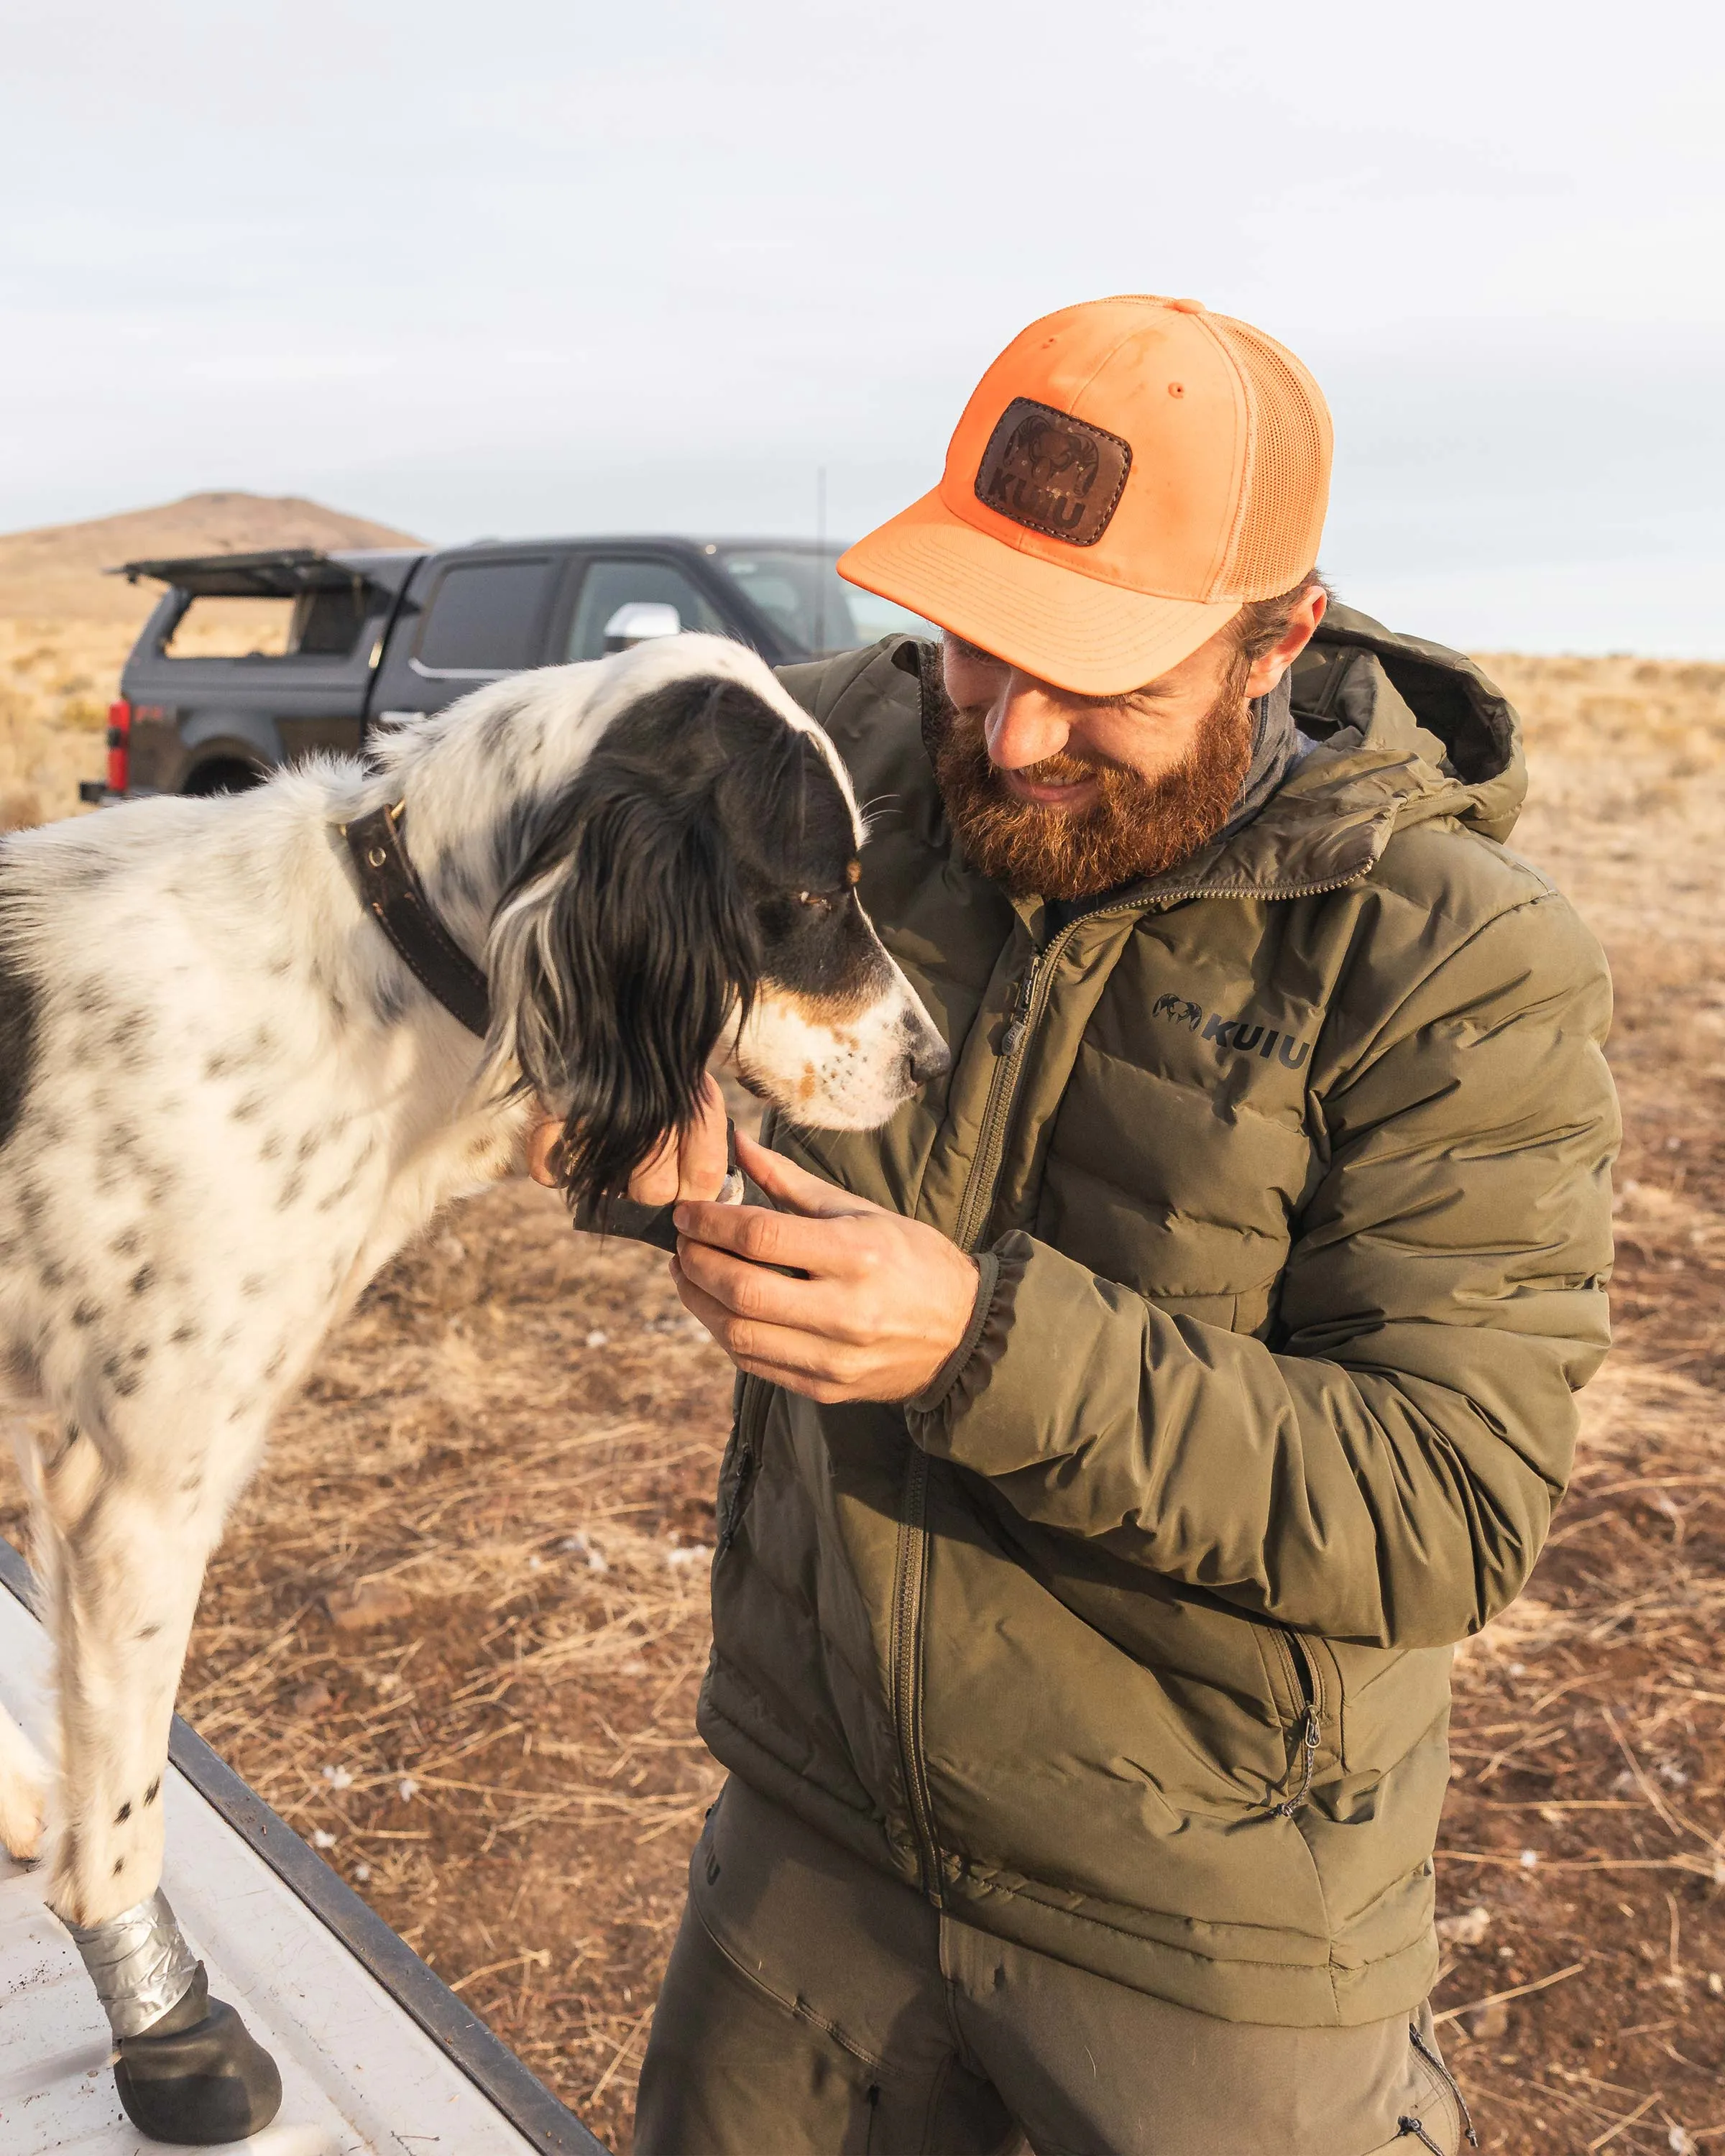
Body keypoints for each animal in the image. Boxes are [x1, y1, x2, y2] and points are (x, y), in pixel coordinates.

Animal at [0, 630, 944, 2139]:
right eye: (809, 893)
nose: (931, 1063)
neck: (365, 961)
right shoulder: (136, 1489)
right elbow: (129, 1820)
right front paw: (169, 2035)